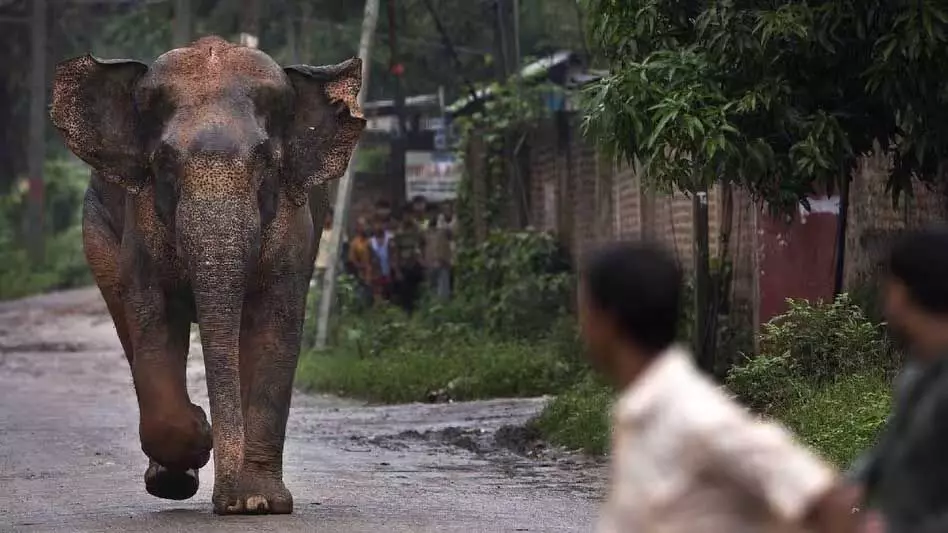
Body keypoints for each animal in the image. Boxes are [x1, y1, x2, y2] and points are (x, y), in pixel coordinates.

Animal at [49, 35, 366, 512]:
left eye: (266, 164)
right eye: (164, 163)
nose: (227, 502)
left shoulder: (293, 223)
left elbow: (274, 325)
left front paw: (261, 503)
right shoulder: (142, 216)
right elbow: (153, 318)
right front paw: (200, 437)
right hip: (97, 226)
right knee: (126, 321)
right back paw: (172, 478)